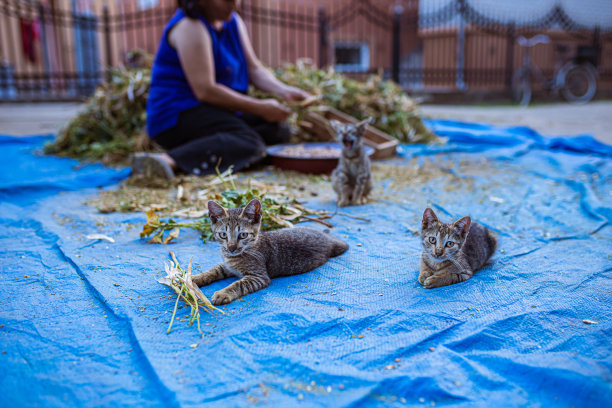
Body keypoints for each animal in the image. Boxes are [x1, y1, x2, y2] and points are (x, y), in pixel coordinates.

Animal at [196, 199, 350, 304]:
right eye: (223, 235)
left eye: (243, 235)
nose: (231, 248)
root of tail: (325, 237)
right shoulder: (227, 266)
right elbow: (213, 270)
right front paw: (195, 278)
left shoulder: (258, 276)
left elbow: (238, 284)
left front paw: (223, 293)